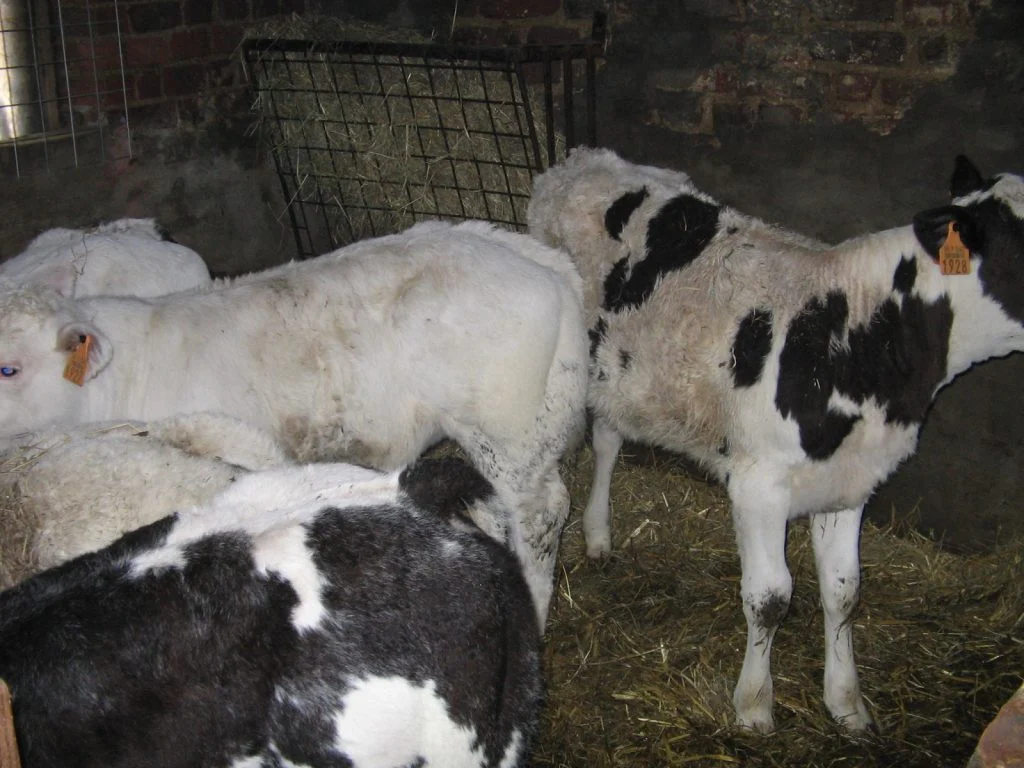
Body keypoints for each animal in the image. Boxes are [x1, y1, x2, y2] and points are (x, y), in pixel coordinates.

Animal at [527, 147, 1024, 731]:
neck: (853, 339)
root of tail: (577, 160)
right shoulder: (758, 484)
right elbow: (769, 597)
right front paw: (754, 705)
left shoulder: (848, 479)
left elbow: (844, 591)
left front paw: (846, 702)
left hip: (621, 370)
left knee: (607, 437)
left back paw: (599, 534)